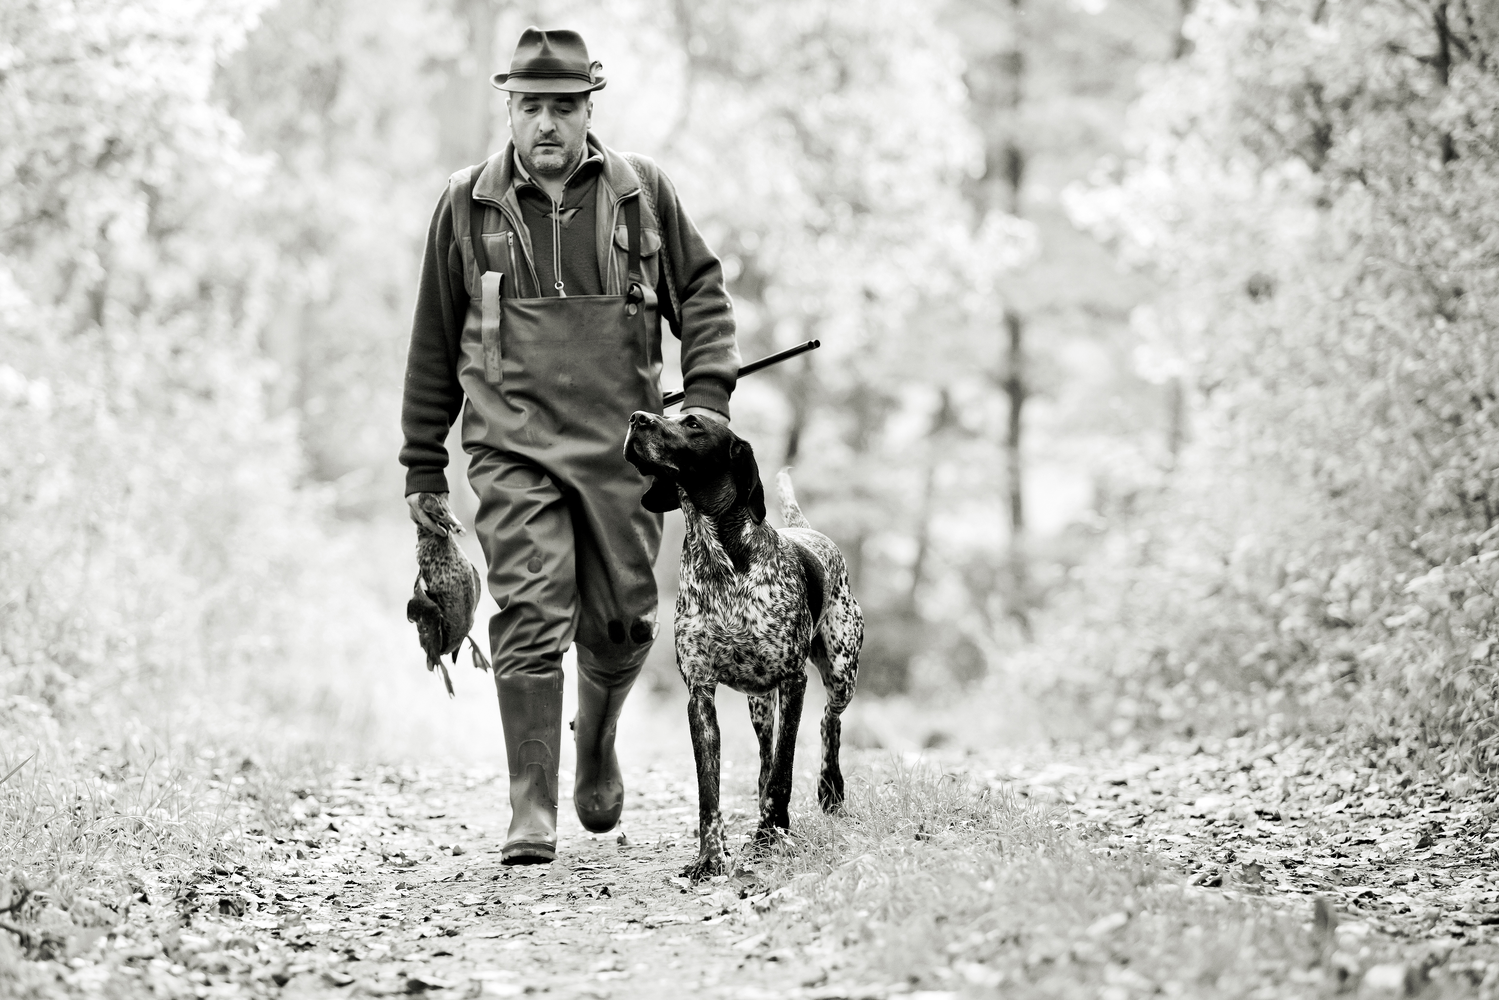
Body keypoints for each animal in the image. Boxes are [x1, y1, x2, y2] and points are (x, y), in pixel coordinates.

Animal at [624, 410, 862, 879]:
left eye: (693, 423)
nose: (636, 418)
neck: (720, 559)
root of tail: (809, 532)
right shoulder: (700, 694)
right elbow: (710, 789)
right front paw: (710, 856)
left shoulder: (793, 681)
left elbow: (785, 771)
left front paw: (773, 834)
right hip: (759, 705)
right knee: (766, 759)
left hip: (841, 672)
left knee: (829, 723)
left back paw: (829, 790)